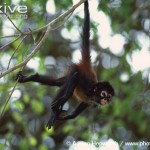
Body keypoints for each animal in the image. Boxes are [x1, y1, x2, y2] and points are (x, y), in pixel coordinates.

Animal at [15, 0, 114, 129]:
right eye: (104, 94)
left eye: (109, 97)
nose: (105, 100)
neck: (94, 94)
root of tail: (86, 65)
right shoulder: (87, 87)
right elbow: (75, 79)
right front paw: (59, 106)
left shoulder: (90, 102)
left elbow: (78, 110)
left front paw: (66, 117)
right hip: (74, 70)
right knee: (64, 84)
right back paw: (54, 111)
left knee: (57, 82)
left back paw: (31, 78)